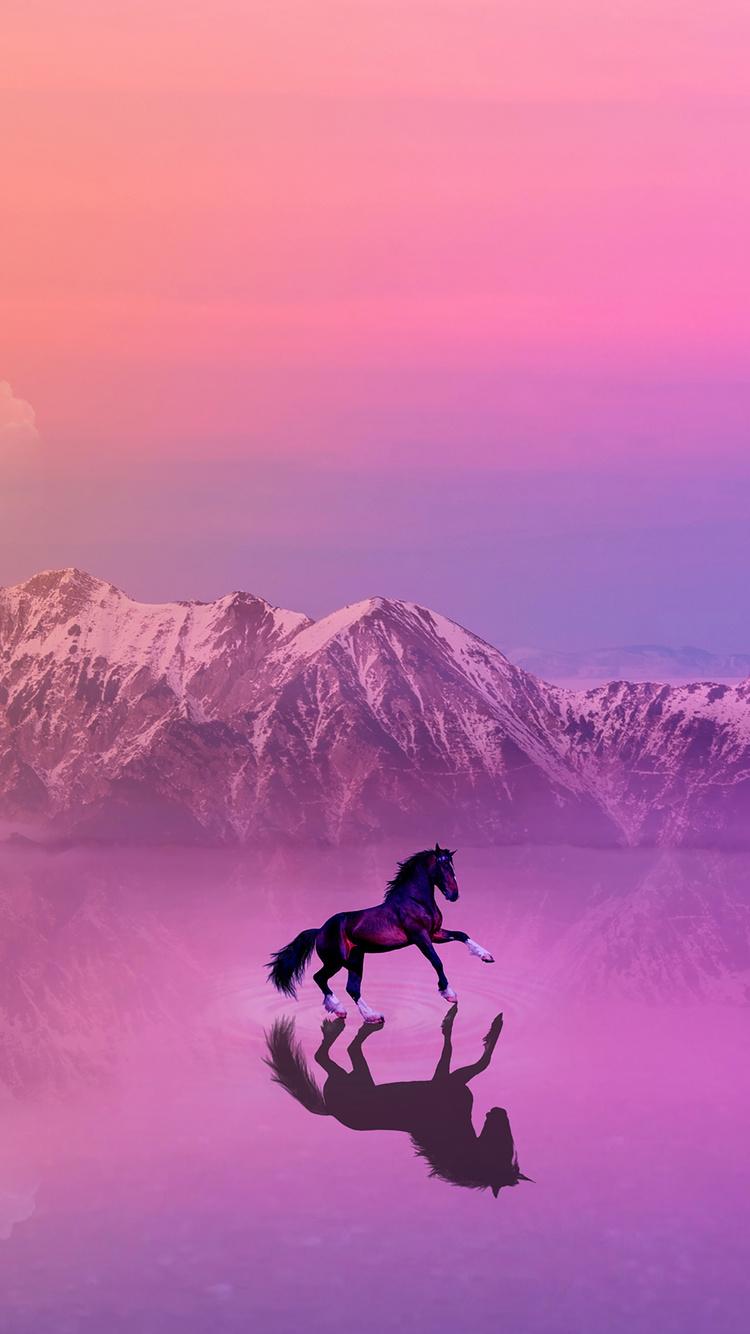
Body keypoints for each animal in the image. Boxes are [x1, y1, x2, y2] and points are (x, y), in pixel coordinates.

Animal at [264, 1006, 531, 1195]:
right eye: (502, 1149)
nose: (499, 1112)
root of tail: (330, 1110)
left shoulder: (450, 1080)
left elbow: (476, 1059)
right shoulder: (447, 1080)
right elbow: (471, 1056)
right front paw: (475, 1022)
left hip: (353, 1076)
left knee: (330, 1055)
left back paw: (336, 1026)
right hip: (359, 1076)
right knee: (342, 1050)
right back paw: (347, 1025)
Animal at [266, 844, 495, 1022]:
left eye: (451, 865)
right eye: (442, 865)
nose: (453, 895)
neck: (415, 900)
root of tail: (320, 930)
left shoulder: (435, 934)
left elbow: (462, 934)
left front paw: (487, 956)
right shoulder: (420, 937)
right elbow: (437, 961)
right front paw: (449, 994)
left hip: (355, 959)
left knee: (352, 988)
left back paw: (371, 1016)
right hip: (336, 961)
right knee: (320, 978)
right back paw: (340, 1009)